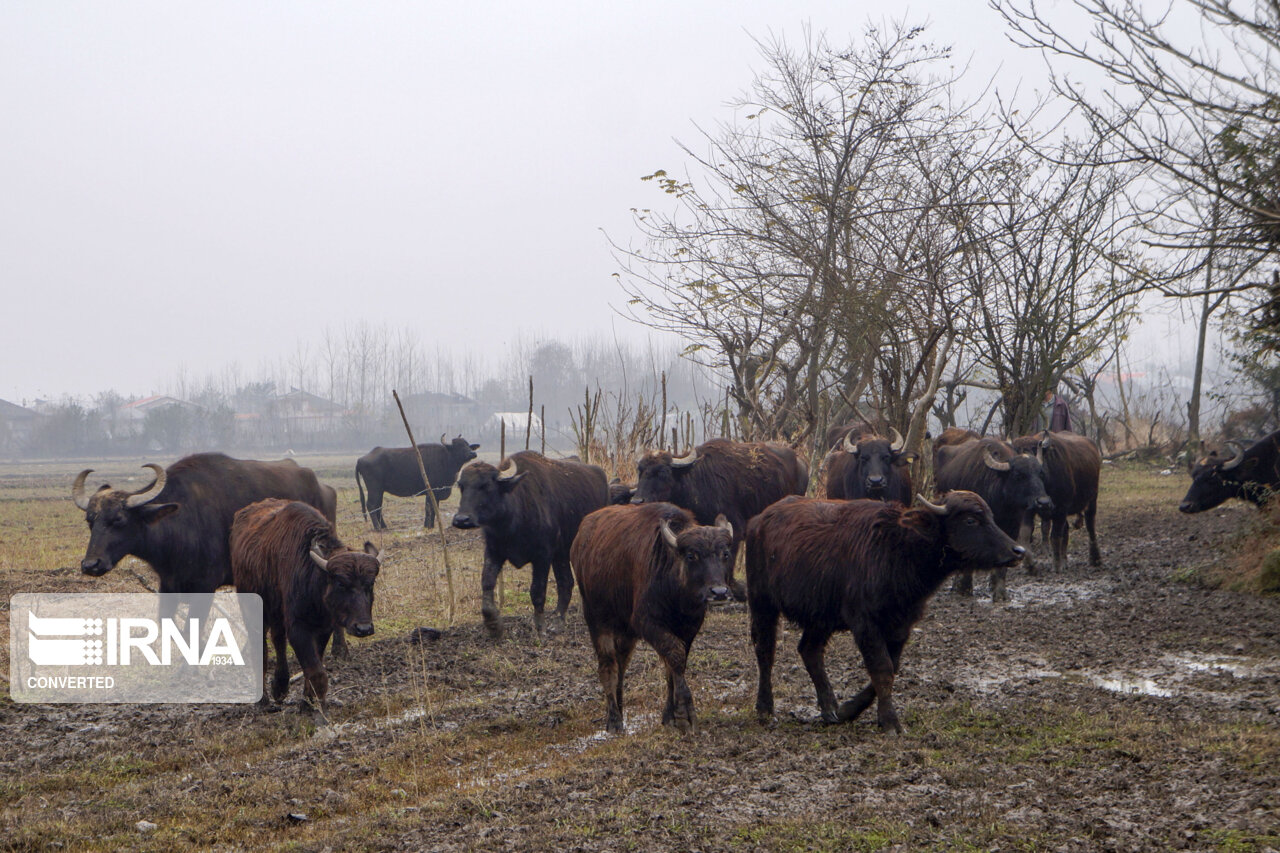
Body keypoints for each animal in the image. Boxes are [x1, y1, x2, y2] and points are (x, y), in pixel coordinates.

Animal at [231, 499, 378, 701]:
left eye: (370, 584)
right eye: (341, 583)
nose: (363, 628)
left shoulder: (323, 627)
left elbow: (314, 666)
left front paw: (308, 700)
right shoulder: (298, 626)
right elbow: (316, 673)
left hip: (277, 613)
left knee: (278, 640)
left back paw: (280, 686)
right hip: (253, 609)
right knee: (260, 647)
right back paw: (263, 699)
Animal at [453, 448, 606, 635]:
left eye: (486, 486)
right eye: (461, 486)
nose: (461, 519)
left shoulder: (542, 556)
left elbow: (537, 591)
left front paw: (540, 627)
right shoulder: (493, 551)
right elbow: (487, 582)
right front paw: (493, 623)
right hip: (561, 554)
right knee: (566, 582)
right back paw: (558, 621)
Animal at [570, 502, 732, 732]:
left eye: (725, 554)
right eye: (692, 555)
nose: (719, 592)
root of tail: (580, 538)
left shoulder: (689, 628)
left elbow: (674, 666)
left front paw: (670, 715)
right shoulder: (647, 623)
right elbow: (675, 656)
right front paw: (685, 715)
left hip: (626, 633)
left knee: (621, 664)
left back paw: (620, 709)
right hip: (597, 620)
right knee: (608, 666)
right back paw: (614, 720)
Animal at [747, 491, 1024, 732]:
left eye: (991, 517)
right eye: (970, 520)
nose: (1018, 551)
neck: (898, 550)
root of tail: (759, 520)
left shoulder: (902, 624)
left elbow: (892, 667)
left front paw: (849, 710)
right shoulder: (865, 623)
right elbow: (881, 668)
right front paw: (891, 722)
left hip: (820, 616)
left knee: (810, 651)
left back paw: (830, 709)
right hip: (762, 602)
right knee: (765, 651)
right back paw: (765, 710)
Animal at [931, 435, 1049, 601]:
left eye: (1040, 473)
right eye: (1018, 475)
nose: (1043, 502)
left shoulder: (1011, 529)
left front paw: (999, 591)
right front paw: (965, 588)